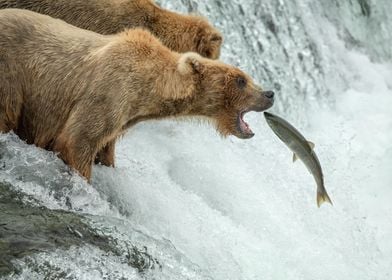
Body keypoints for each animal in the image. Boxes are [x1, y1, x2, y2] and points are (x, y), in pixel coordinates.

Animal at [0, 9, 274, 180]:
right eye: (241, 80)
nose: (269, 93)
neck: (148, 89)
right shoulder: (108, 92)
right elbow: (76, 141)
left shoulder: (122, 117)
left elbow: (104, 149)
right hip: (11, 75)